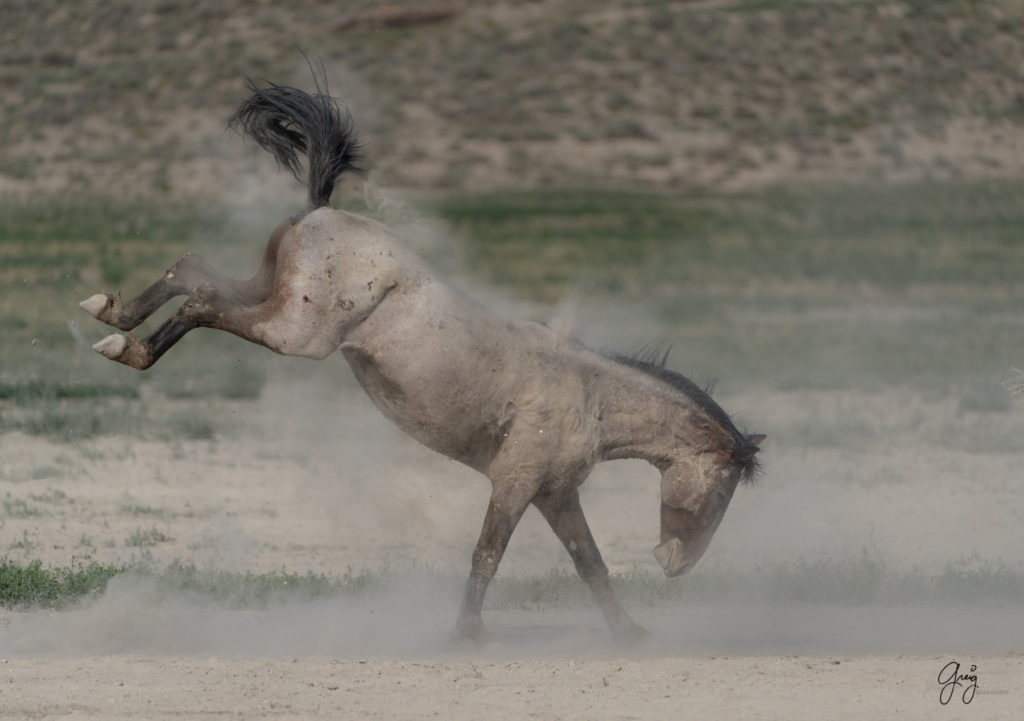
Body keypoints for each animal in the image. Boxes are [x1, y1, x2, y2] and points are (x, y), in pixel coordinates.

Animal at [79, 74, 761, 643]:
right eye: (725, 491)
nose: (676, 566)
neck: (587, 396)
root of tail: (323, 209)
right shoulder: (515, 486)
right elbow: (488, 555)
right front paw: (466, 635)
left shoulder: (555, 494)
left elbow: (589, 562)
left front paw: (629, 633)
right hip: (293, 330)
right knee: (202, 301)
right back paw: (127, 346)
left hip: (267, 289)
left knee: (189, 271)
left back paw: (115, 319)